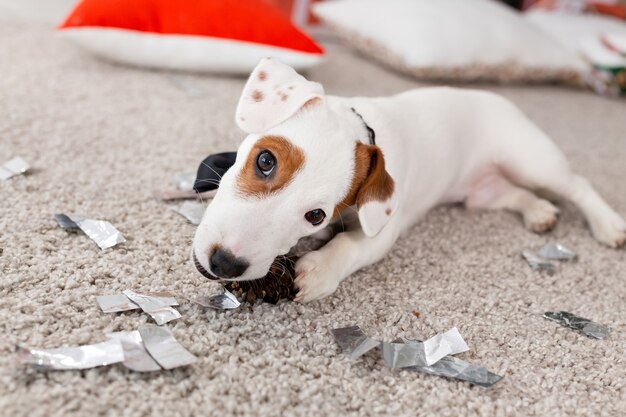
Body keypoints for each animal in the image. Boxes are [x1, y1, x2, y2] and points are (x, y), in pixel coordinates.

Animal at [191, 57, 624, 300]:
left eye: (315, 215)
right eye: (265, 160)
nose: (226, 263)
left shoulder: (384, 230)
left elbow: (351, 245)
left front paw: (319, 270)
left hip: (532, 159)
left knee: (578, 185)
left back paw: (608, 225)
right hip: (485, 193)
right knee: (516, 194)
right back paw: (539, 212)